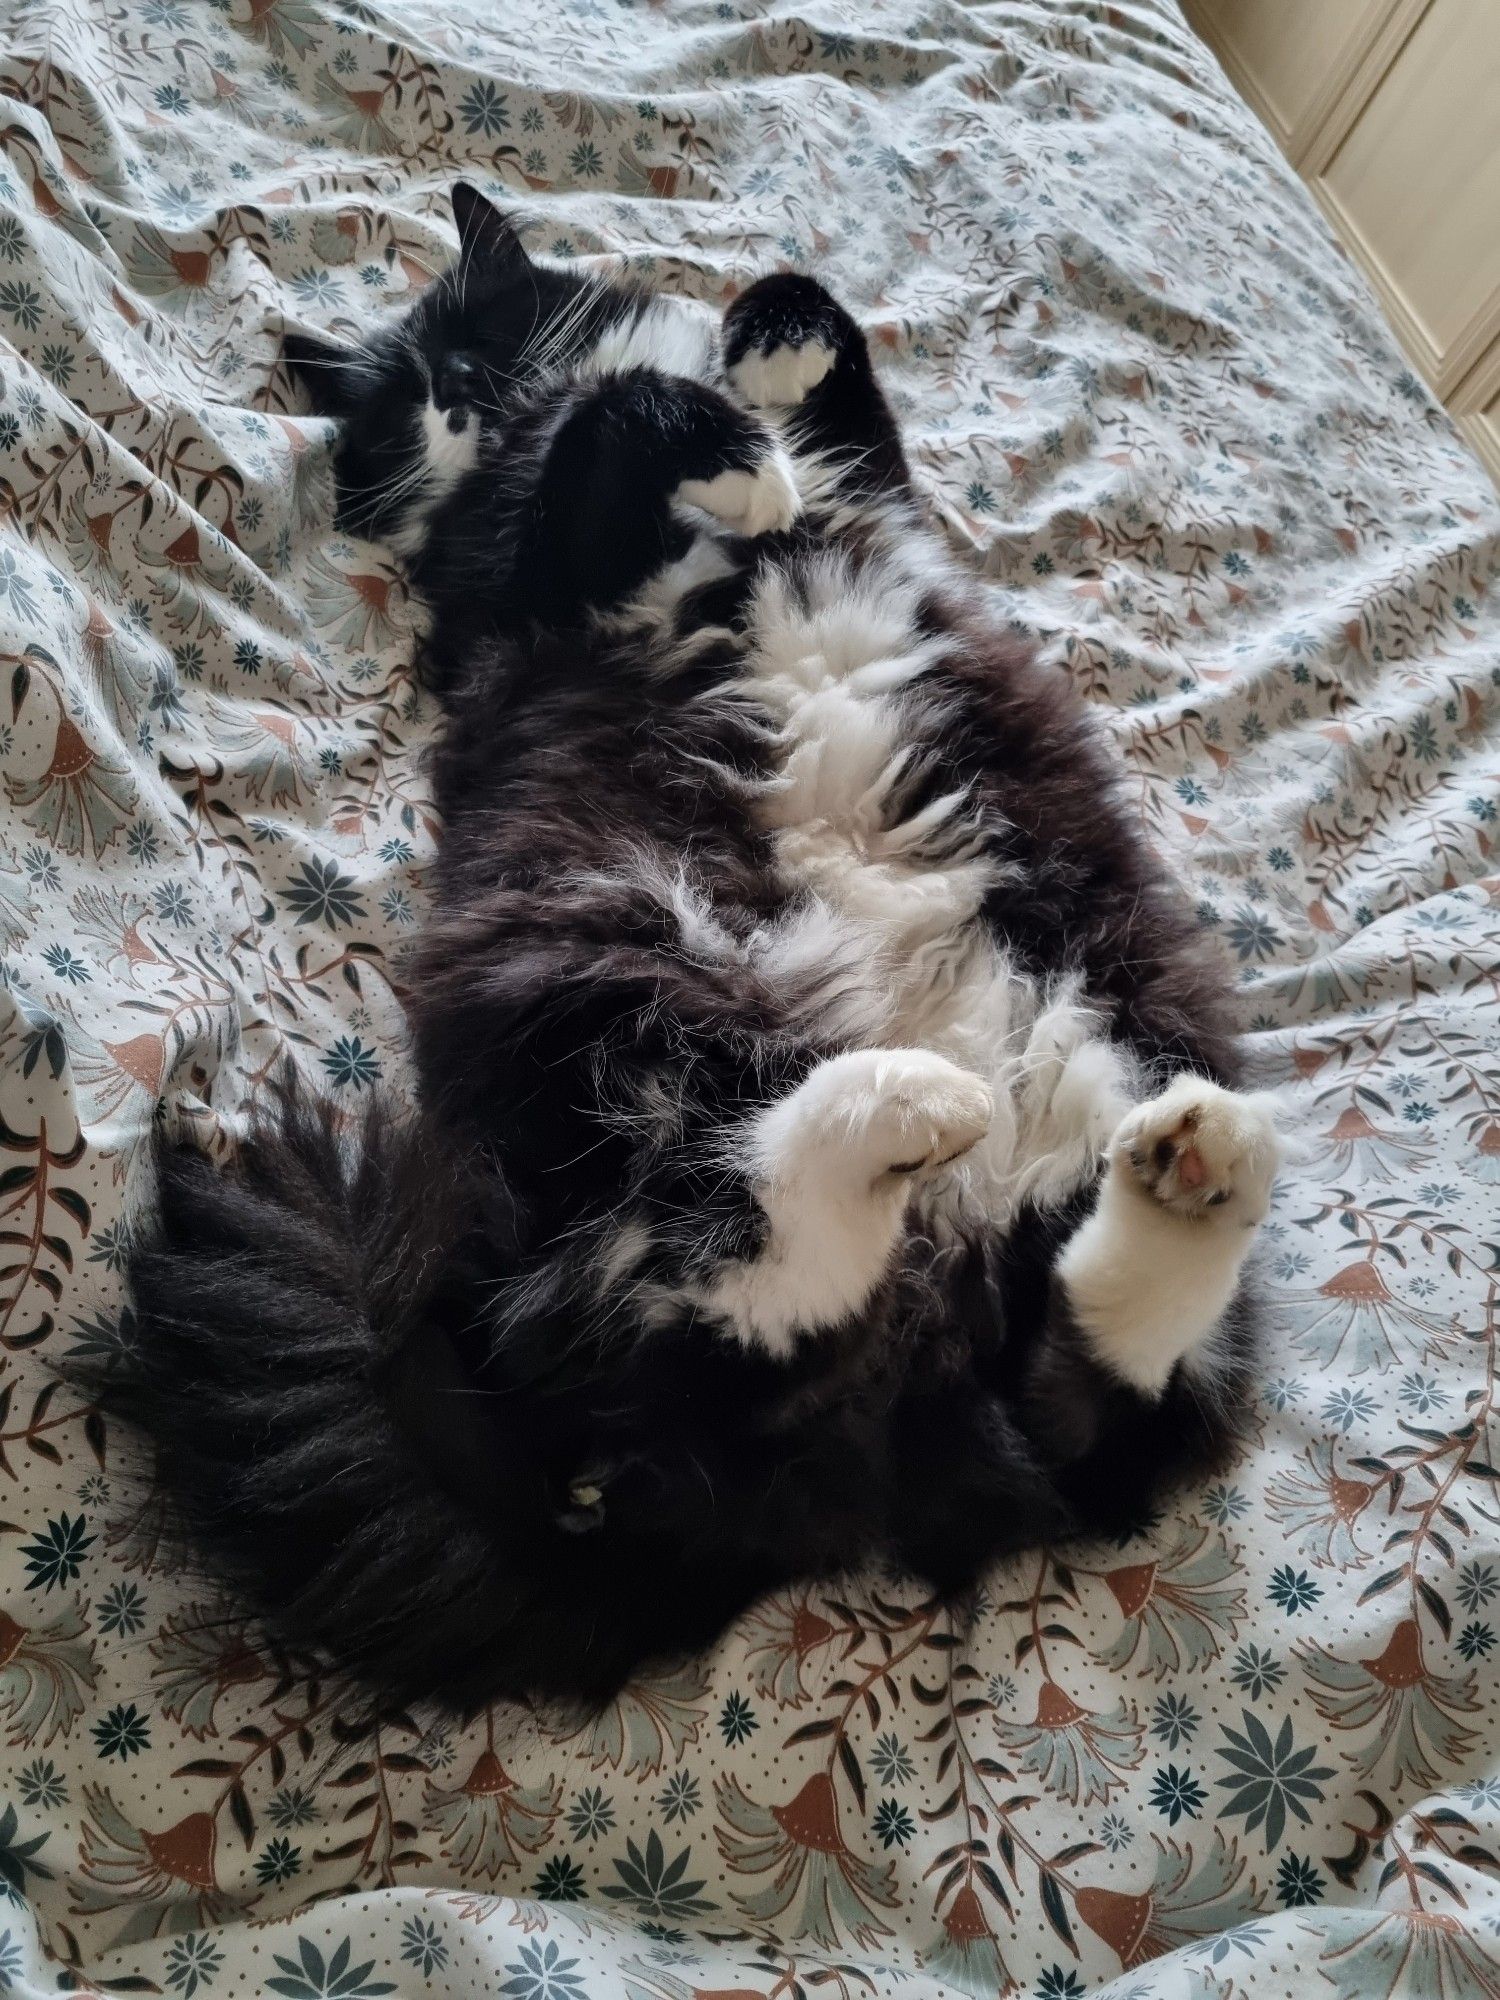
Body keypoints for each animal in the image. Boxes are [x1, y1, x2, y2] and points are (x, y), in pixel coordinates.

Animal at [106, 188, 1280, 1712]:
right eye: (405, 407)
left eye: (468, 353)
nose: (470, 405)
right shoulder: (532, 571)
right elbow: (624, 427)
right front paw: (732, 454)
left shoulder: (876, 478)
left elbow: (816, 336)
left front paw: (763, 359)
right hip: (629, 993)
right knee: (762, 1296)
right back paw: (909, 1115)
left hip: (1107, 1028)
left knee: (1089, 1394)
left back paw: (1182, 1168)